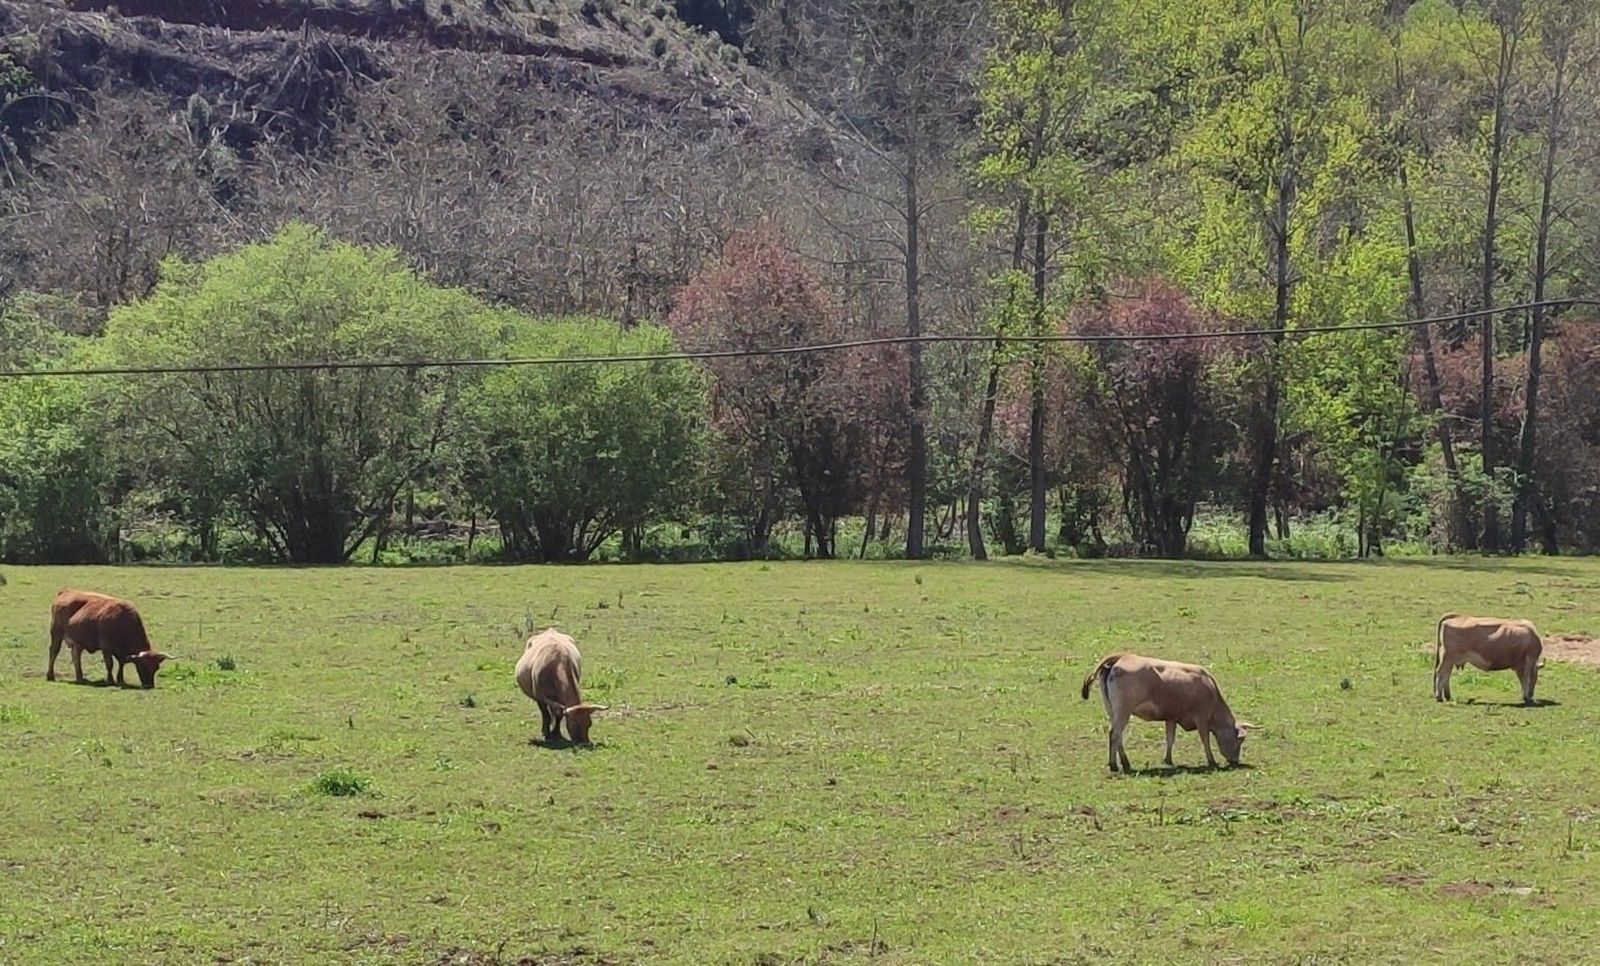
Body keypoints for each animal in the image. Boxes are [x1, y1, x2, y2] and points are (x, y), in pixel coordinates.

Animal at [1081, 653, 1253, 773]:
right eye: (1240, 740)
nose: (1235, 761)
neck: (1211, 690)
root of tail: (1122, 657)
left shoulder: (1171, 718)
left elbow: (1170, 738)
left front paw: (1168, 760)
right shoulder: (1201, 718)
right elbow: (1205, 740)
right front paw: (1211, 761)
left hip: (1113, 711)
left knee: (1118, 737)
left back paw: (1122, 763)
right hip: (1123, 711)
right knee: (1115, 734)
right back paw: (1116, 765)